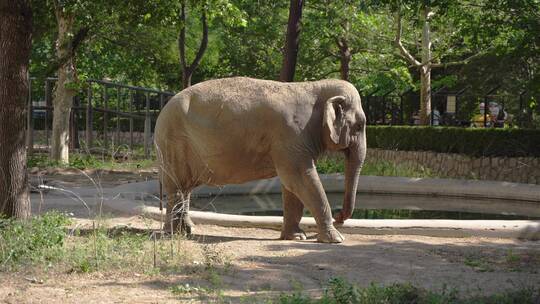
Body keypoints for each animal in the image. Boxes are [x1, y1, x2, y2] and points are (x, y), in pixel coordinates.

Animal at [154, 77, 370, 243]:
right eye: (360, 125)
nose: (340, 217)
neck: (315, 86)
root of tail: (162, 110)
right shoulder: (291, 135)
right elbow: (299, 177)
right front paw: (336, 239)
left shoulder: (290, 144)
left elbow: (291, 184)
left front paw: (296, 237)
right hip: (172, 142)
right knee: (176, 185)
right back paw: (173, 233)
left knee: (184, 187)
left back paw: (186, 230)